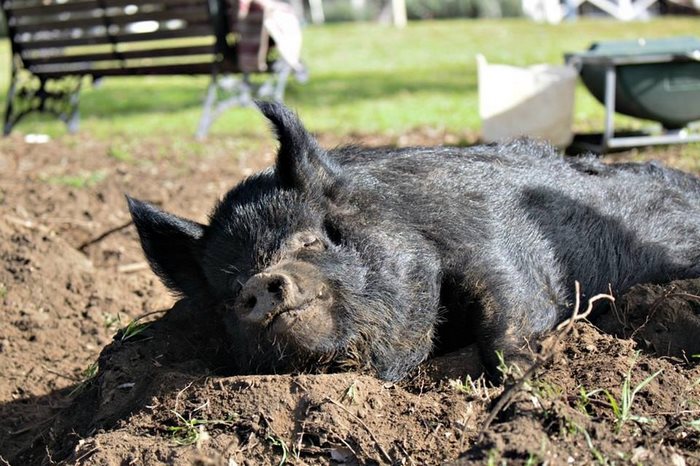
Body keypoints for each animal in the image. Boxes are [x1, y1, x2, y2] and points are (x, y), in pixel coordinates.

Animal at [128, 102, 700, 382]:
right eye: (229, 292)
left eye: (311, 240)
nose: (261, 283)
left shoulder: (499, 247)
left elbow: (506, 313)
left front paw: (528, 377)